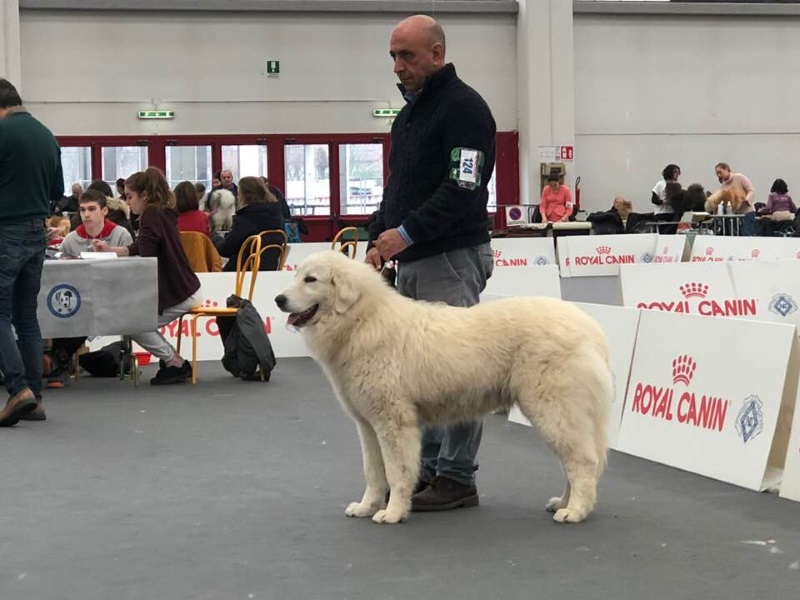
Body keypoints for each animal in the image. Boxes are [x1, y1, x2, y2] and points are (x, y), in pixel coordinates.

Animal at [275, 251, 612, 525]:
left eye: (311, 280)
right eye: (296, 275)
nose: (279, 300)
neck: (362, 321)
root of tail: (590, 326)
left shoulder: (393, 423)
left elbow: (396, 472)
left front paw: (393, 513)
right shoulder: (368, 426)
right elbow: (373, 472)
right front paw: (366, 507)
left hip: (553, 410)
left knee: (583, 461)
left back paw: (575, 511)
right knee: (574, 462)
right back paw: (564, 503)